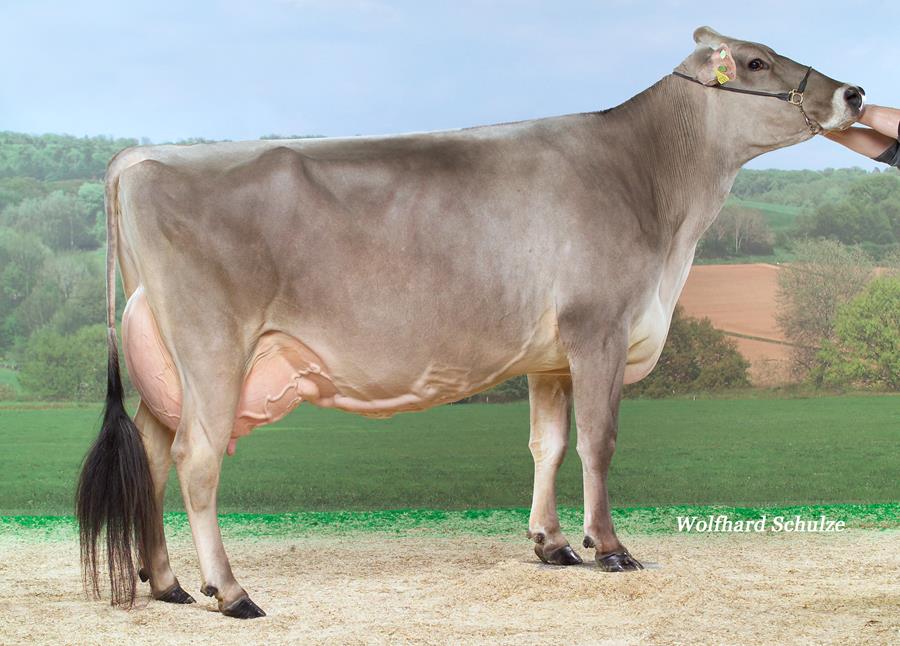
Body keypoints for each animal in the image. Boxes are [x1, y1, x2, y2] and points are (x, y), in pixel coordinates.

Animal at [76, 26, 864, 618]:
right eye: (756, 61)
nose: (852, 93)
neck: (658, 195)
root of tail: (140, 157)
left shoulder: (551, 356)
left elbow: (547, 444)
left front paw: (551, 544)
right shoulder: (598, 328)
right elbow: (597, 442)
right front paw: (610, 548)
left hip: (167, 360)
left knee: (152, 452)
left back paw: (169, 583)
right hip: (213, 346)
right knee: (196, 460)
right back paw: (231, 592)